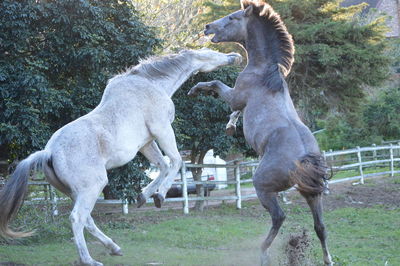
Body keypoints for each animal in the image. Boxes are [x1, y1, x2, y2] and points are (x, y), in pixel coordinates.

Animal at [0, 48, 241, 266]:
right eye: (211, 52)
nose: (235, 56)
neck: (151, 84)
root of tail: (48, 152)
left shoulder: (146, 142)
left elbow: (162, 165)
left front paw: (144, 196)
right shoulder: (162, 129)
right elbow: (176, 161)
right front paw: (160, 197)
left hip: (75, 191)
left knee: (87, 220)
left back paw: (113, 247)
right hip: (92, 186)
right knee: (77, 218)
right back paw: (89, 260)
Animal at [189, 1, 332, 264]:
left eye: (233, 18)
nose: (207, 26)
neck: (264, 72)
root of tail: (304, 159)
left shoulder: (235, 96)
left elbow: (216, 85)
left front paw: (195, 89)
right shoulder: (239, 102)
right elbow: (233, 112)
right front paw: (230, 126)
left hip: (264, 188)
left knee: (279, 216)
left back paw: (264, 252)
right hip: (311, 193)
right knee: (320, 227)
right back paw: (328, 259)